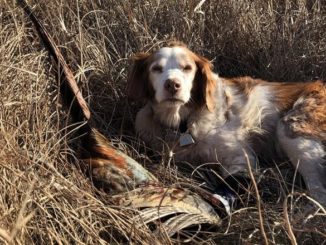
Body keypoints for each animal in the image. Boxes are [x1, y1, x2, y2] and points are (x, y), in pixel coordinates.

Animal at [125, 41, 326, 205]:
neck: (183, 125)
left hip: (291, 130)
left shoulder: (241, 158)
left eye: (187, 68)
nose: (172, 85)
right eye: (156, 68)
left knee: (319, 193)